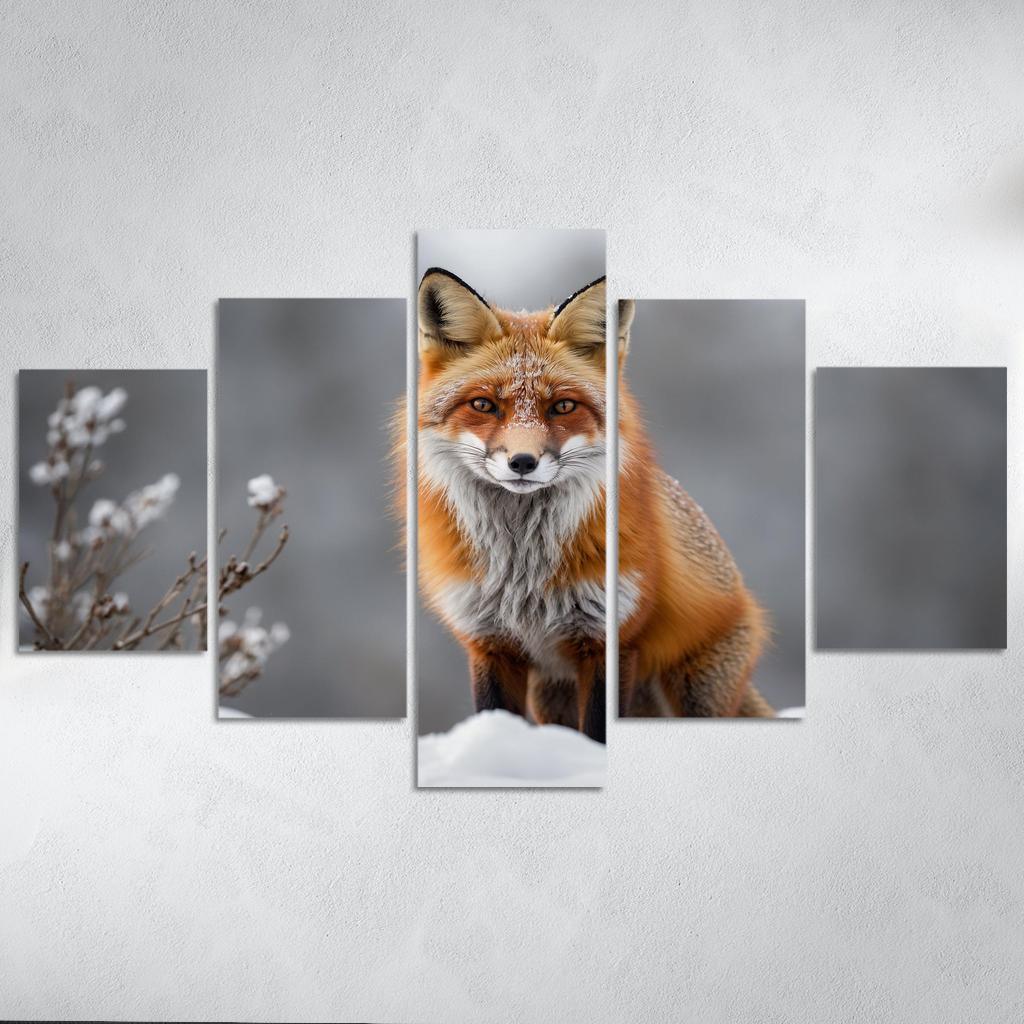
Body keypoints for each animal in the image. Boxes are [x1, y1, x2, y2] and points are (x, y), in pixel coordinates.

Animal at [399, 268, 772, 744]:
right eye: (483, 404)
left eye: (563, 406)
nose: (523, 462)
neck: (522, 571)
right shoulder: (491, 644)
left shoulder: (608, 640)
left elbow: (596, 733)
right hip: (551, 695)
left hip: (693, 693)